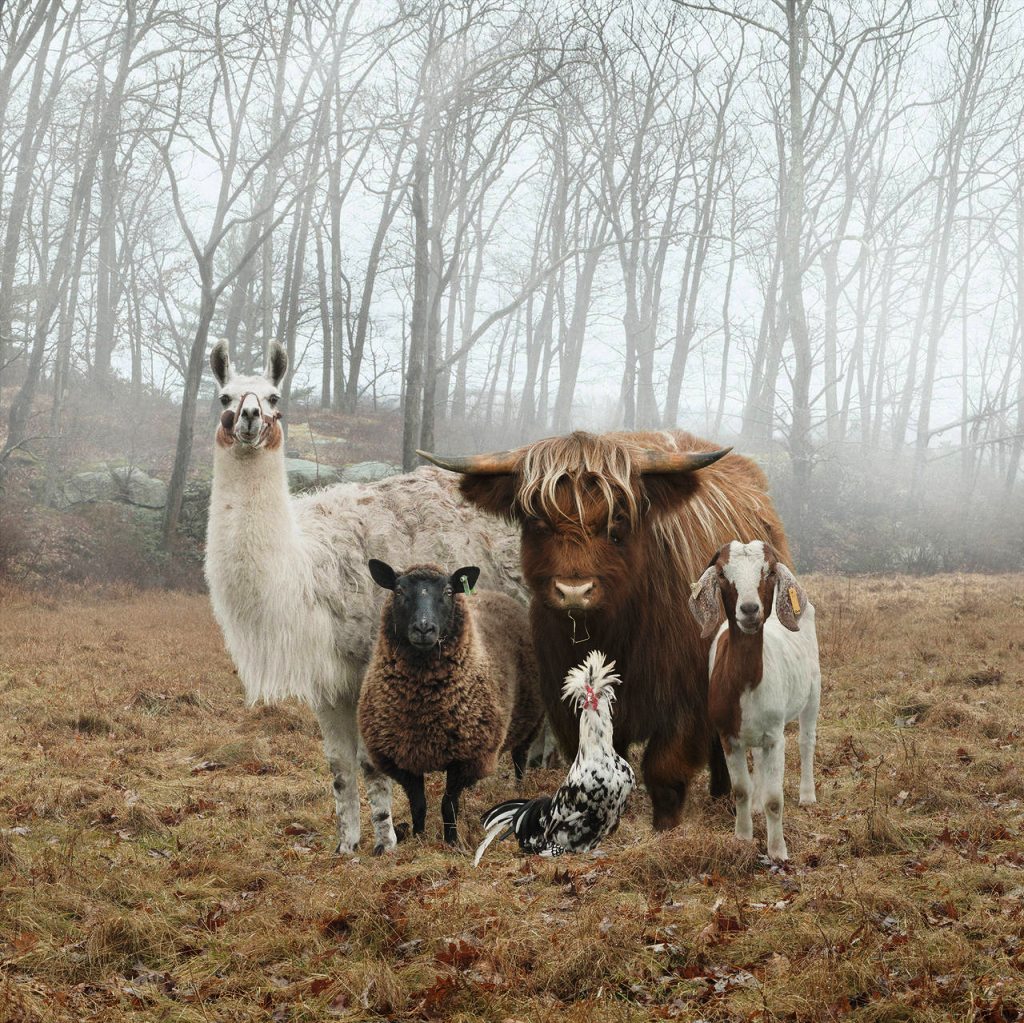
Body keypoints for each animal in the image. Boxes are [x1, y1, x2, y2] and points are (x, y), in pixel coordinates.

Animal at [358, 560, 543, 847]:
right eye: (399, 591)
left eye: (447, 592)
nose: (424, 629)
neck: (424, 707)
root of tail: (496, 594)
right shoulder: (403, 758)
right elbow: (419, 804)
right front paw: (419, 837)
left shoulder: (466, 757)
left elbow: (448, 805)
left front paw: (452, 842)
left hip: (531, 720)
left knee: (519, 757)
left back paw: (519, 787)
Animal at [688, 540, 820, 860]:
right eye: (722, 574)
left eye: (769, 572)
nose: (749, 609)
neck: (748, 681)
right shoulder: (728, 735)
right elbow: (741, 790)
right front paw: (743, 837)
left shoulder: (775, 737)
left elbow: (775, 798)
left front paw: (778, 851)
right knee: (758, 759)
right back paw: (757, 807)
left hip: (813, 690)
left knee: (806, 741)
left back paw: (807, 795)